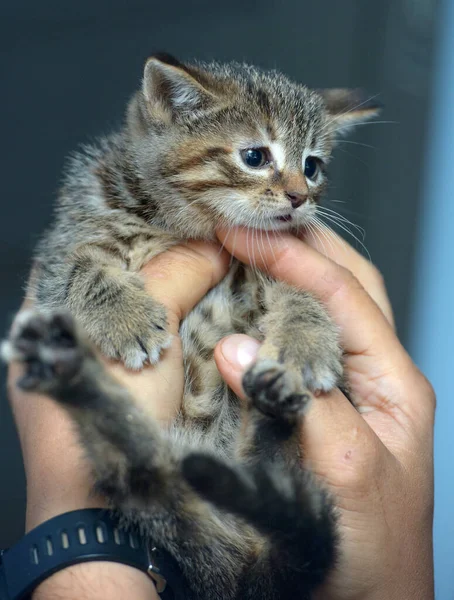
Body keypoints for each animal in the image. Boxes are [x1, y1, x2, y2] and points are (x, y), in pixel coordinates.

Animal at [3, 54, 380, 596]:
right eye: (254, 156)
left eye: (312, 166)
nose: (298, 197)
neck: (180, 221)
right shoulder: (62, 247)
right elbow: (81, 266)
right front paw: (126, 318)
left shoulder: (264, 269)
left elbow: (303, 295)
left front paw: (305, 343)